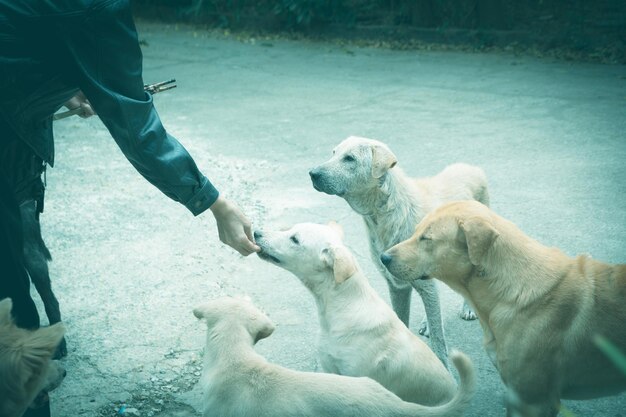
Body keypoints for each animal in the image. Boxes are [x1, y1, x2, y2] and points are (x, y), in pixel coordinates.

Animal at [308, 135, 488, 366]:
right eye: (333, 153)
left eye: (350, 158)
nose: (312, 173)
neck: (387, 214)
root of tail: (471, 167)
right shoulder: (397, 286)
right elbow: (404, 321)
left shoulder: (420, 285)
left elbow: (438, 341)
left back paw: (468, 308)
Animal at [378, 200, 624, 414]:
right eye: (415, 232)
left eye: (426, 238)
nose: (383, 257)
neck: (513, 287)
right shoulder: (520, 396)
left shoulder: (533, 400)